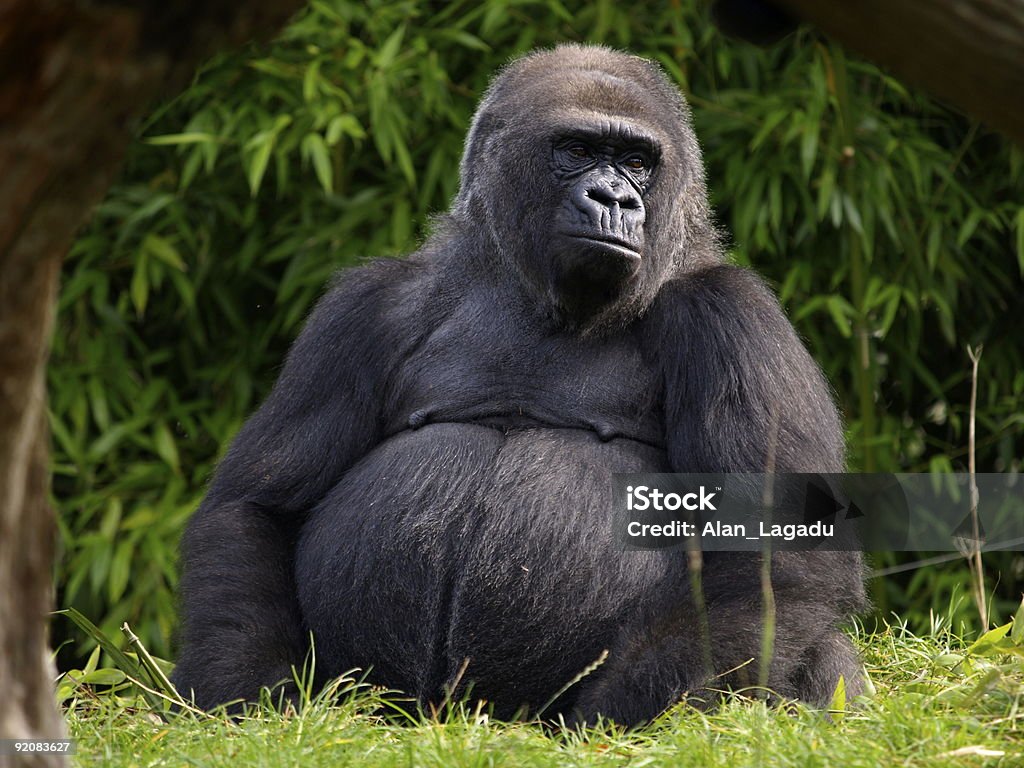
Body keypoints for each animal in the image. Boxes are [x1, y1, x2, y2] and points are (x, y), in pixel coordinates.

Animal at [174, 43, 864, 729]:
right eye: (578, 150)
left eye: (637, 162)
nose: (615, 198)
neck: (537, 295)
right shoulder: (364, 310)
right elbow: (256, 507)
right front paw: (254, 699)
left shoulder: (734, 317)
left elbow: (773, 549)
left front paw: (616, 722)